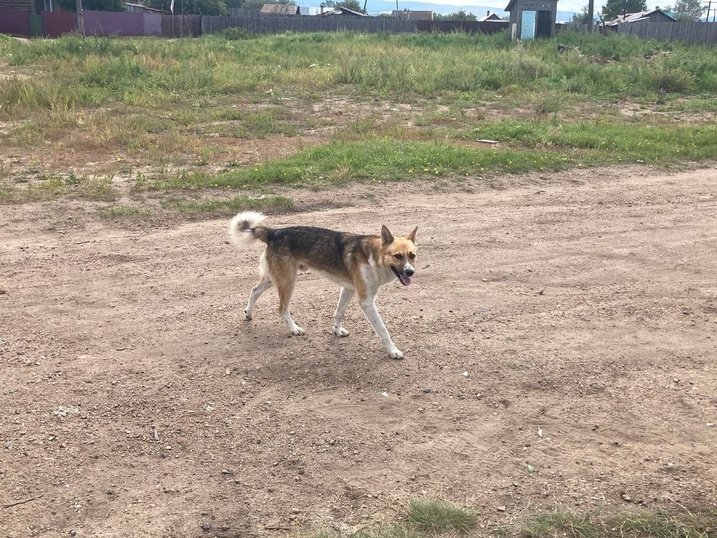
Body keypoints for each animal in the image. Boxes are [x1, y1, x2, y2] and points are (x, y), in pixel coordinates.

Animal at [229, 211, 416, 358]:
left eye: (412, 255)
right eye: (397, 256)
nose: (410, 272)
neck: (375, 257)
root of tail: (274, 232)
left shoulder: (348, 289)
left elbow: (339, 313)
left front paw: (337, 331)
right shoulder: (367, 301)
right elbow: (383, 329)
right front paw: (393, 351)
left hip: (275, 278)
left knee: (254, 290)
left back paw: (248, 313)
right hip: (288, 281)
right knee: (282, 308)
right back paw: (294, 328)